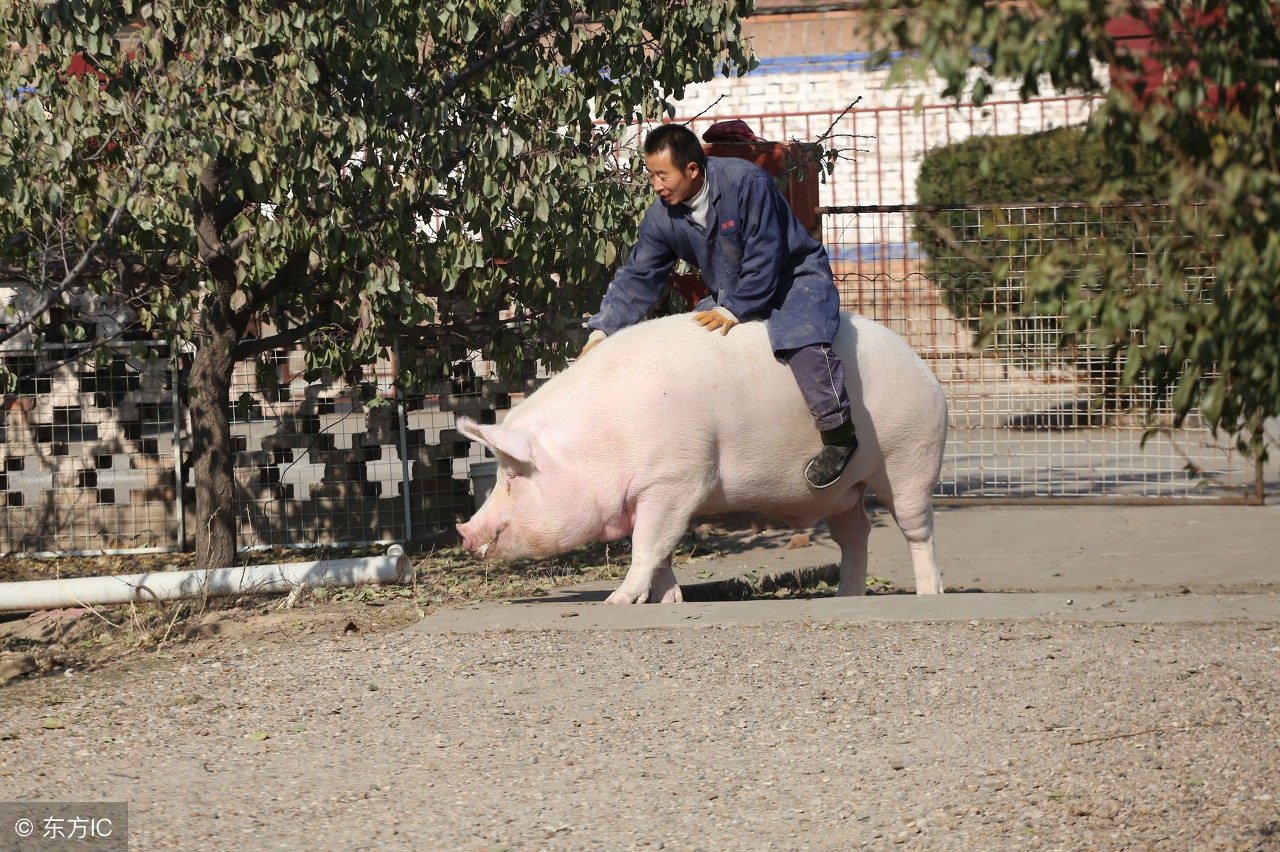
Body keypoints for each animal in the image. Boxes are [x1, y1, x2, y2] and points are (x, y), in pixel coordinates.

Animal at [455, 308, 947, 601]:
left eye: (513, 476)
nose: (464, 532)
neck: (601, 440)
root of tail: (927, 371)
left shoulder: (677, 477)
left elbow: (648, 545)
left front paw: (618, 601)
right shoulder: (651, 493)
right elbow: (662, 550)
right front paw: (668, 601)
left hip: (911, 459)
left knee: (917, 531)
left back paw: (930, 595)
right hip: (844, 492)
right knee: (856, 534)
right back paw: (845, 597)